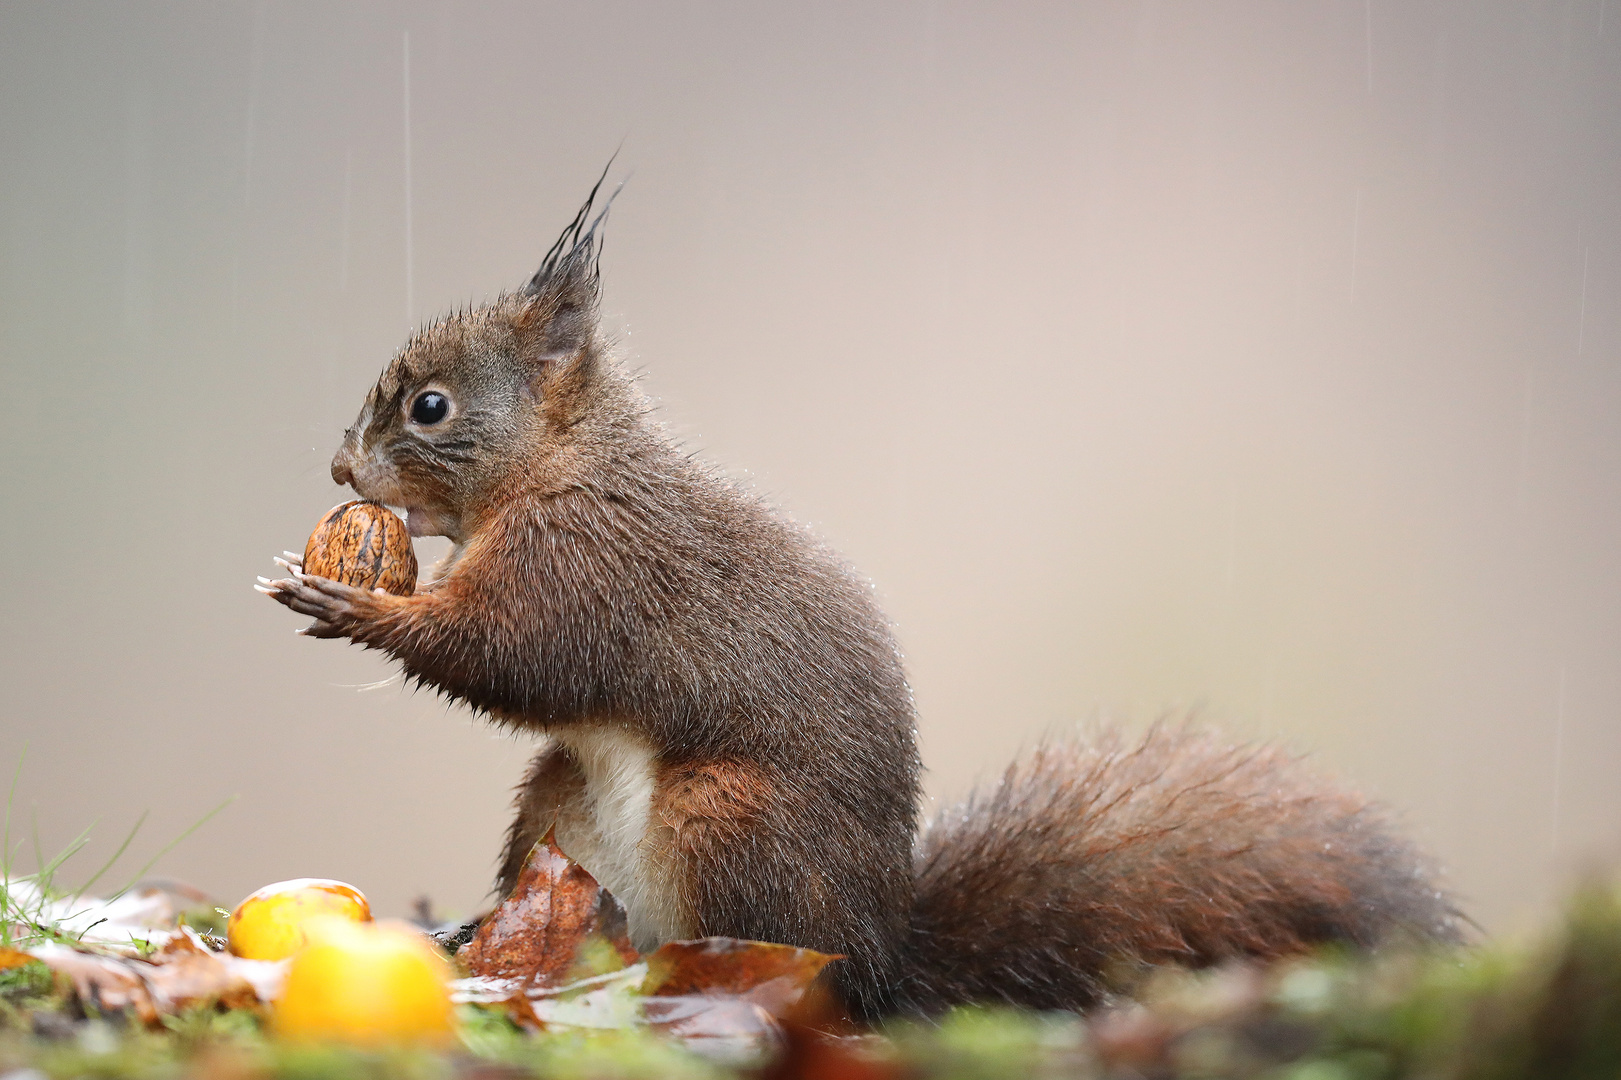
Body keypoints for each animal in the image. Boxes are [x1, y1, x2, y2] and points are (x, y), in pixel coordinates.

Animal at [262, 178, 1458, 1018]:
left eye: (429, 406)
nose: (338, 469)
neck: (564, 465)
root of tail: (886, 958)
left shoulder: (586, 566)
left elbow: (514, 655)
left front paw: (354, 609)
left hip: (725, 819)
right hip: (562, 806)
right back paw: (490, 942)